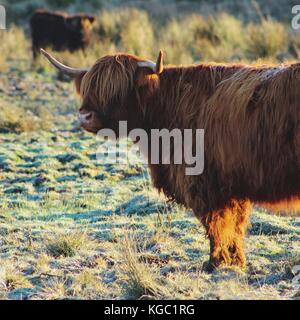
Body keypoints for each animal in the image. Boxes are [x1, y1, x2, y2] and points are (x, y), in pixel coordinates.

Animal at [40, 48, 300, 272]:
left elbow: (217, 225)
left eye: (116, 90)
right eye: (88, 88)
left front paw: (215, 262)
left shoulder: (205, 183)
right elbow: (234, 226)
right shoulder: (231, 187)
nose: (84, 116)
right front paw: (236, 261)